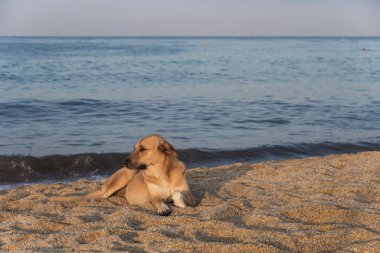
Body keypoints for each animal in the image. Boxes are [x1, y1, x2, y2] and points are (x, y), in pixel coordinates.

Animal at [49, 134, 196, 215]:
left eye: (142, 149)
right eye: (134, 148)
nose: (123, 161)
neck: (161, 174)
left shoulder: (191, 198)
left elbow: (178, 193)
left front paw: (179, 203)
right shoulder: (154, 197)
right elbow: (159, 201)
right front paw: (163, 208)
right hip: (127, 174)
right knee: (102, 195)